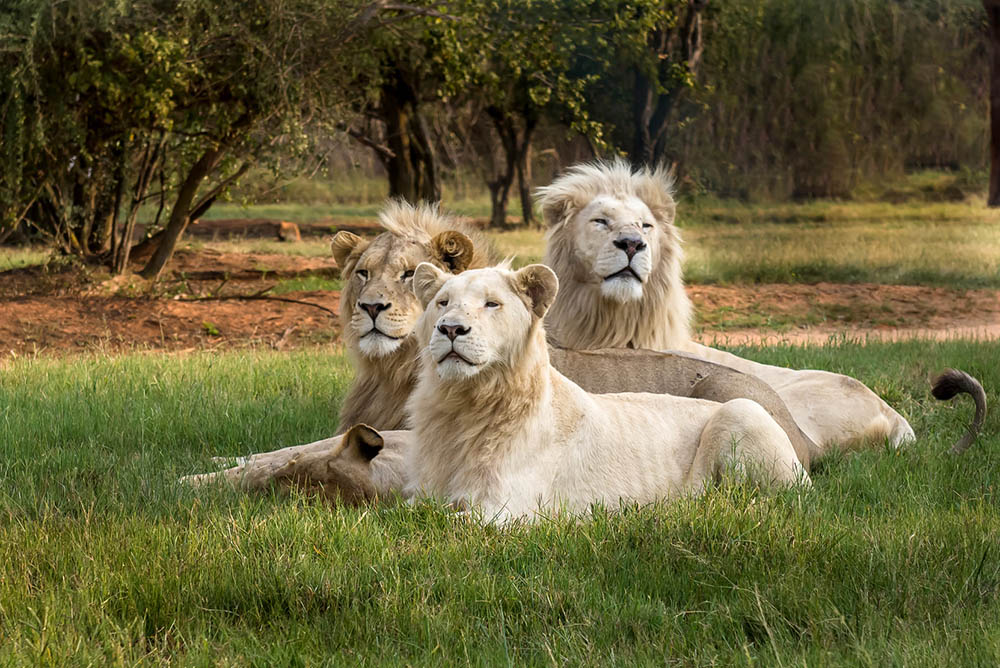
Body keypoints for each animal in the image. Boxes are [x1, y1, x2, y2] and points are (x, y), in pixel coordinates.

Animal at [402, 260, 808, 520]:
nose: (450, 328)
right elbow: (402, 516)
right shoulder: (423, 494)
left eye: (491, 304)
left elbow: (434, 528)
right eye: (442, 303)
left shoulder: (505, 513)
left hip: (741, 409)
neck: (463, 403)